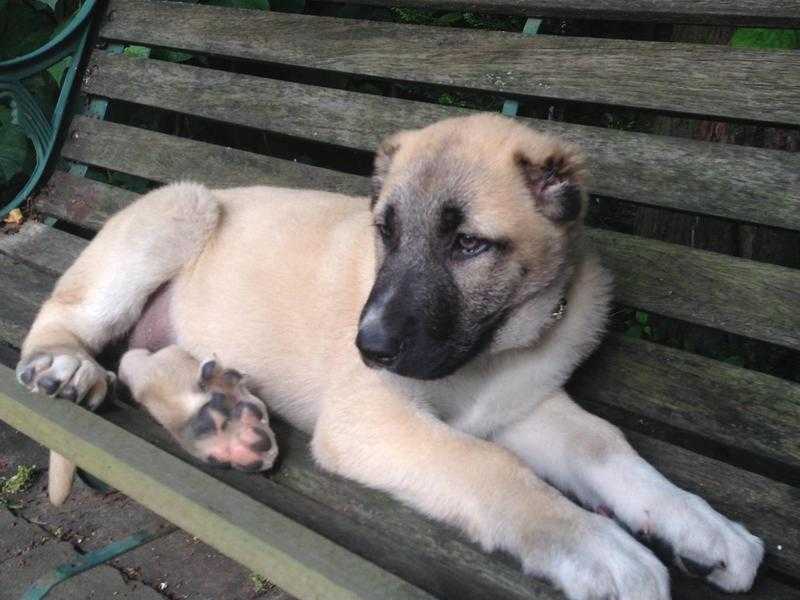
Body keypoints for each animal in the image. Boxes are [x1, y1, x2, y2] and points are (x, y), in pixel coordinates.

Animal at [14, 113, 764, 600]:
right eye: (385, 232)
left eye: (470, 245)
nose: (367, 346)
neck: (486, 356)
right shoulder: (370, 418)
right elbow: (489, 466)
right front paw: (598, 547)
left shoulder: (524, 406)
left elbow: (605, 445)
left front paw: (705, 526)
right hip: (181, 212)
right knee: (64, 318)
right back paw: (67, 367)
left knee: (140, 361)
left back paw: (220, 420)